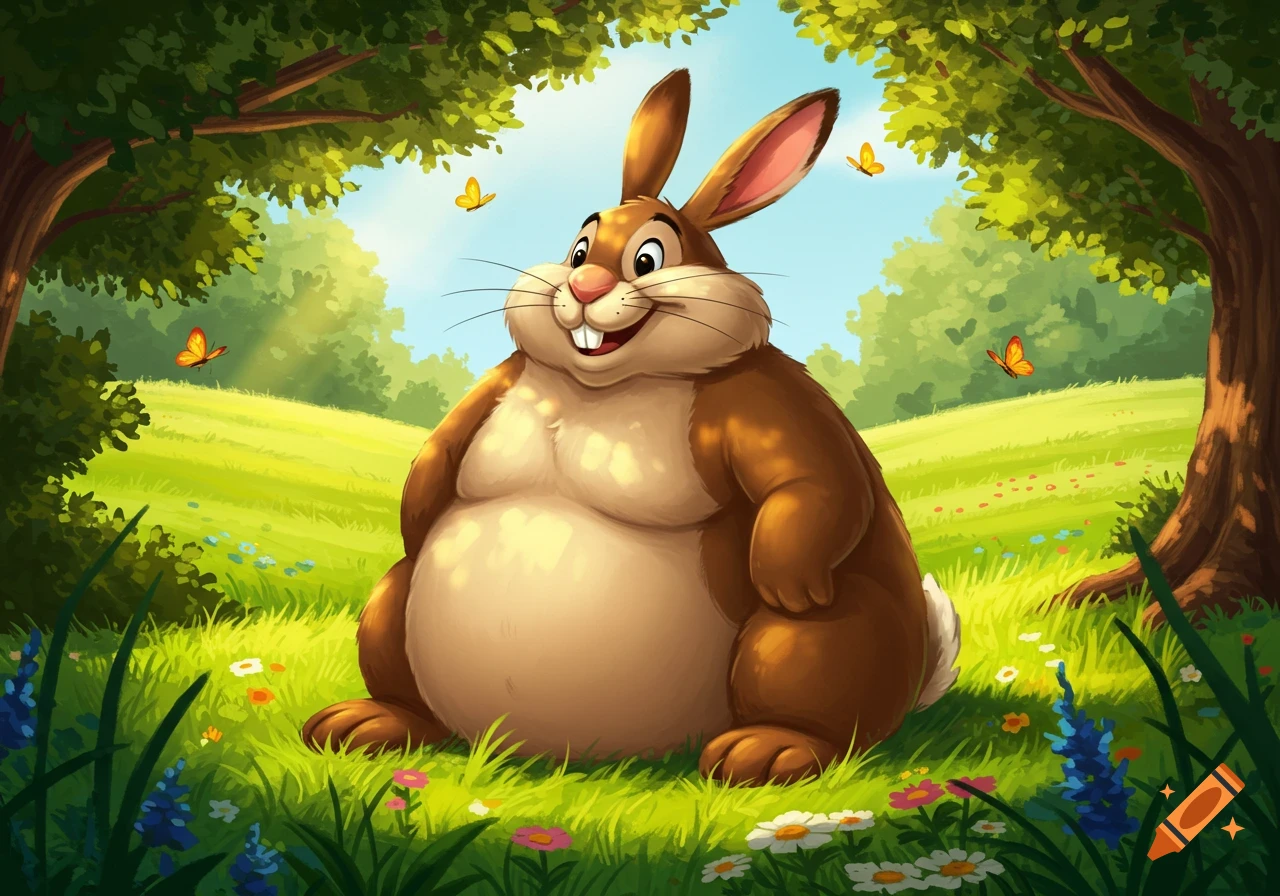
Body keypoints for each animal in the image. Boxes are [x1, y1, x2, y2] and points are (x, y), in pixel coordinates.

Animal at [301, 69, 961, 786]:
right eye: (579, 249)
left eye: (648, 258)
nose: (585, 286)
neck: (602, 381)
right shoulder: (503, 381)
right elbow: (439, 449)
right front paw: (416, 517)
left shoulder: (764, 401)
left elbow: (816, 479)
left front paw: (785, 570)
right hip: (393, 606)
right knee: (401, 624)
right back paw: (370, 722)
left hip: (813, 640)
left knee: (818, 687)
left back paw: (771, 748)